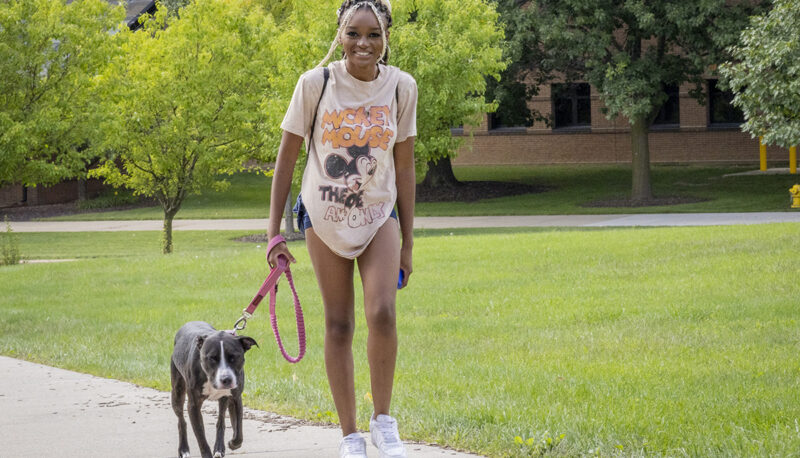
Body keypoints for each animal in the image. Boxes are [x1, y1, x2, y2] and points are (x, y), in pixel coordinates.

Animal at [172, 322, 260, 458]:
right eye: (212, 358)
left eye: (234, 357)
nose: (226, 379)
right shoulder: (193, 405)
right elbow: (201, 436)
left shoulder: (235, 398)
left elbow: (238, 431)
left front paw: (233, 444)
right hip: (177, 392)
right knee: (181, 421)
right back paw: (183, 449)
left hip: (223, 399)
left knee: (221, 421)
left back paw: (219, 448)